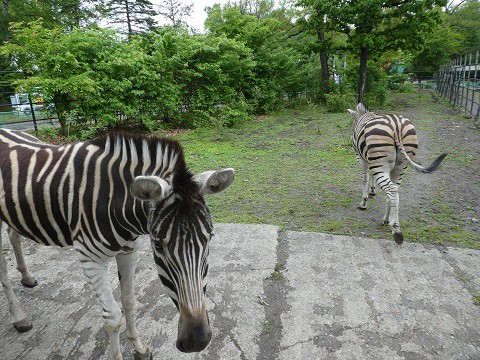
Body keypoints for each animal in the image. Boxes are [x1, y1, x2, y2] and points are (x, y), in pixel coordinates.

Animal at [0, 129, 234, 360]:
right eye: (158, 245)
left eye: (209, 238)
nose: (197, 341)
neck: (112, 200)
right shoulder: (89, 258)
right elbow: (112, 317)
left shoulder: (129, 252)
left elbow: (129, 301)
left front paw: (139, 347)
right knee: (3, 271)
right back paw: (20, 317)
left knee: (13, 235)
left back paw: (27, 277)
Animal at [348, 103, 446, 245]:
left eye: (352, 122)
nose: (351, 135)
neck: (364, 116)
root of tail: (397, 125)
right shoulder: (369, 158)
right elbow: (371, 176)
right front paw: (373, 190)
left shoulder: (360, 157)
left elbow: (364, 178)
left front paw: (364, 202)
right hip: (399, 167)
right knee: (394, 190)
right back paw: (386, 219)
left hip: (381, 164)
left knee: (391, 189)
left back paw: (396, 230)